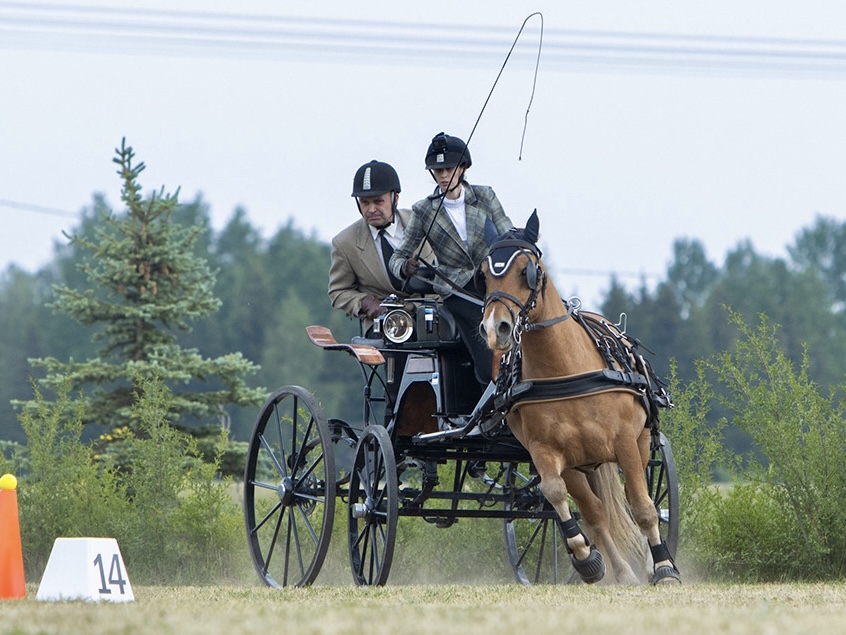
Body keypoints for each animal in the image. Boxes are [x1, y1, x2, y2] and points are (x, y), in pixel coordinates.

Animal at [480, 212, 680, 588]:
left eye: (528, 270)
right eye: (483, 273)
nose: (495, 328)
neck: (565, 371)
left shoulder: (624, 442)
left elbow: (643, 507)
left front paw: (664, 567)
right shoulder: (546, 451)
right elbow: (559, 496)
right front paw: (587, 558)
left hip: (642, 439)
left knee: (642, 500)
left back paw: (652, 562)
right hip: (581, 464)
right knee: (595, 512)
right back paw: (620, 570)